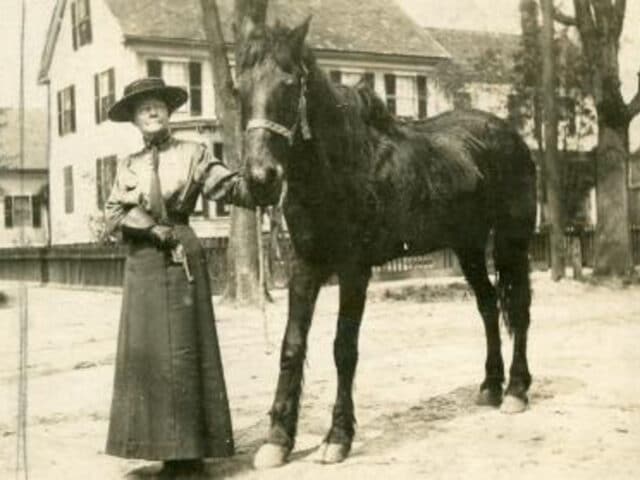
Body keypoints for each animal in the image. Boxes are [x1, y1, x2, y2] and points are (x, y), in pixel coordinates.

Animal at [238, 19, 536, 468]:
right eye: (239, 88)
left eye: (289, 85)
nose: (261, 179)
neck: (340, 165)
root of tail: (509, 135)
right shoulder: (305, 266)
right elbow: (292, 346)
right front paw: (277, 440)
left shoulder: (354, 269)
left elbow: (343, 348)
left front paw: (337, 437)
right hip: (467, 247)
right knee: (487, 305)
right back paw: (490, 385)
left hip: (511, 241)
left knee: (516, 306)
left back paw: (516, 390)